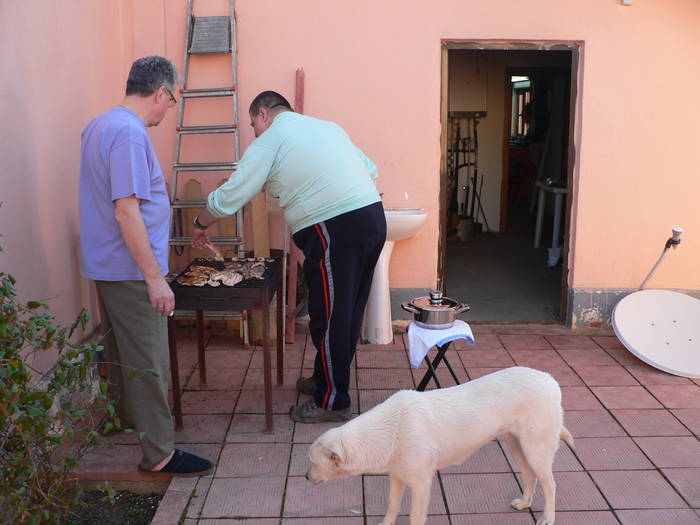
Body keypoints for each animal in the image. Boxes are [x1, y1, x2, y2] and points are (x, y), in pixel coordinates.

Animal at [306, 364, 576, 524]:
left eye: (313, 463)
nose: (306, 477)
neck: (390, 428)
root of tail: (548, 378)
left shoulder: (422, 483)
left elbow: (415, 517)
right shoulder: (396, 476)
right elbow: (392, 506)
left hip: (536, 449)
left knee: (550, 484)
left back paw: (548, 517)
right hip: (517, 445)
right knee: (530, 476)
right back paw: (525, 503)